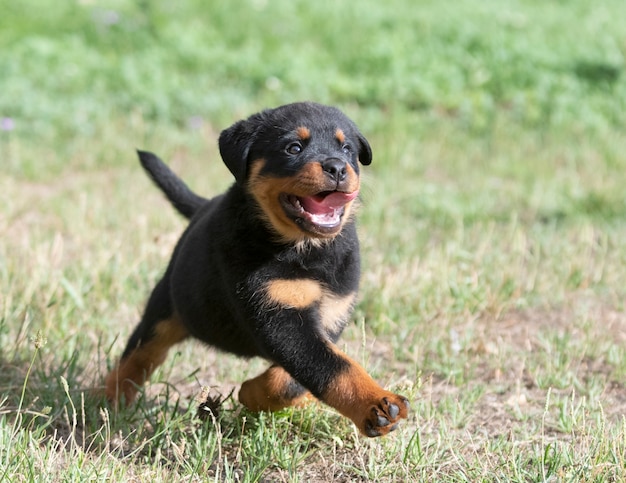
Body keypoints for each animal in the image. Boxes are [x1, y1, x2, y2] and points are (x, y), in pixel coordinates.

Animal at [106, 102, 410, 438]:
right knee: (141, 353)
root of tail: (203, 207)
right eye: (293, 148)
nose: (337, 167)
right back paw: (109, 399)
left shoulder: (331, 313)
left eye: (347, 149)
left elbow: (296, 376)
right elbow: (332, 367)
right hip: (167, 306)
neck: (305, 249)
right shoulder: (276, 314)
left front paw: (252, 394)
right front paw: (377, 404)